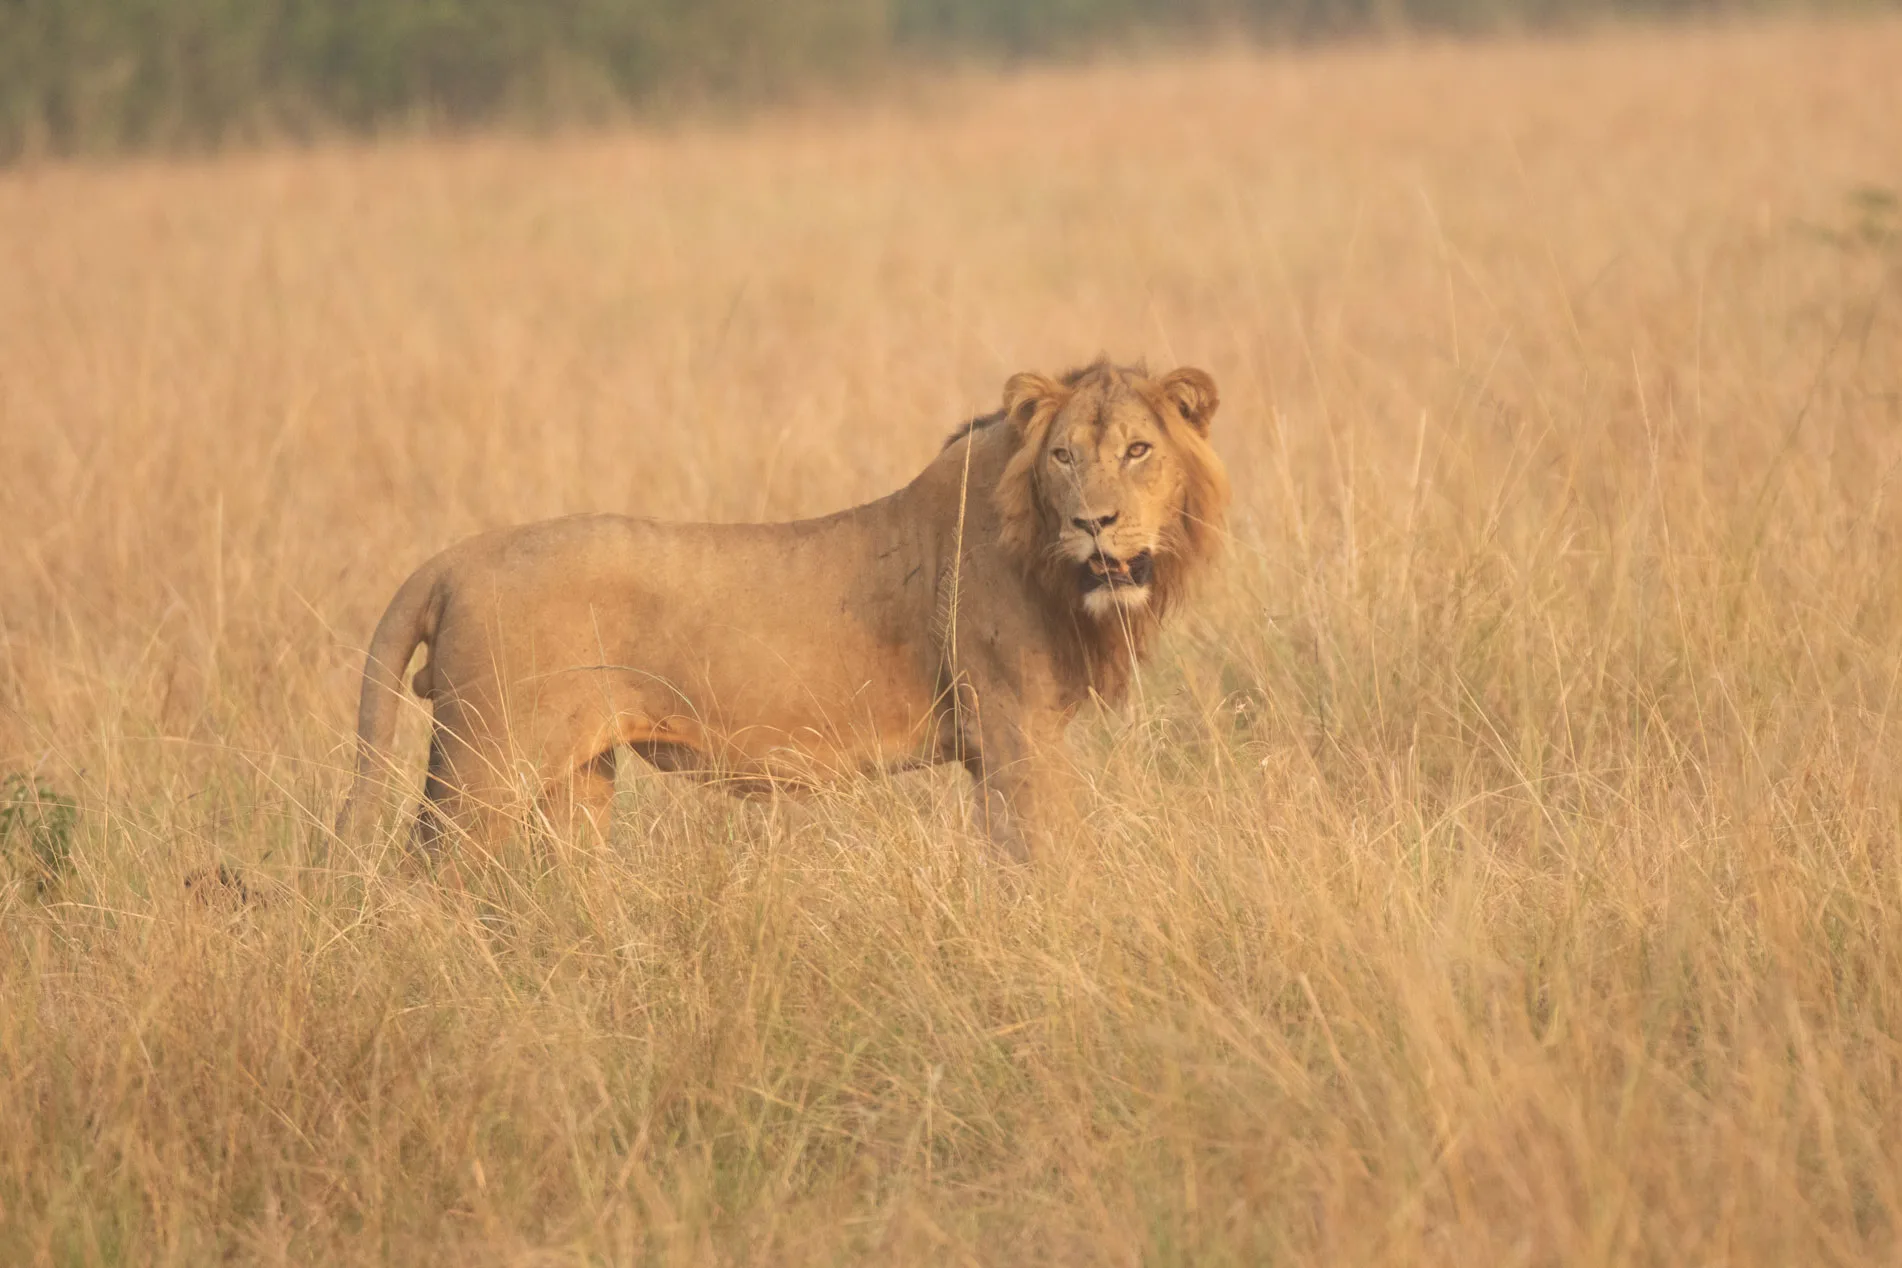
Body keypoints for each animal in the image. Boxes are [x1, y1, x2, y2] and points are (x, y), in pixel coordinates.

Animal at [335, 359, 1229, 860]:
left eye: (1139, 451)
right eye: (1064, 457)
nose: (1094, 523)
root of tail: (453, 560)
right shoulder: (1016, 729)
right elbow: (1051, 858)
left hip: (577, 780)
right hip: (483, 771)